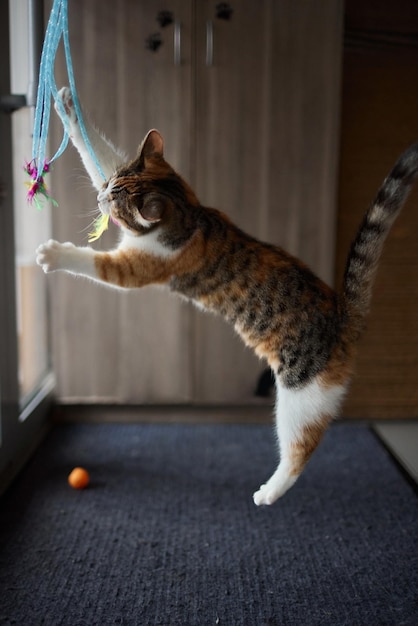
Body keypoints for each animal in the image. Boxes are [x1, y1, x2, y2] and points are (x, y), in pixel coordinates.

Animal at [36, 88, 418, 504]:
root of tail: (344, 312)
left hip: (302, 395)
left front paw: (53, 255)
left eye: (115, 199)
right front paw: (69, 110)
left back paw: (270, 491)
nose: (100, 197)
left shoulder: (136, 267)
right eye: (110, 184)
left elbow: (96, 265)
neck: (190, 213)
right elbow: (99, 154)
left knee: (301, 448)